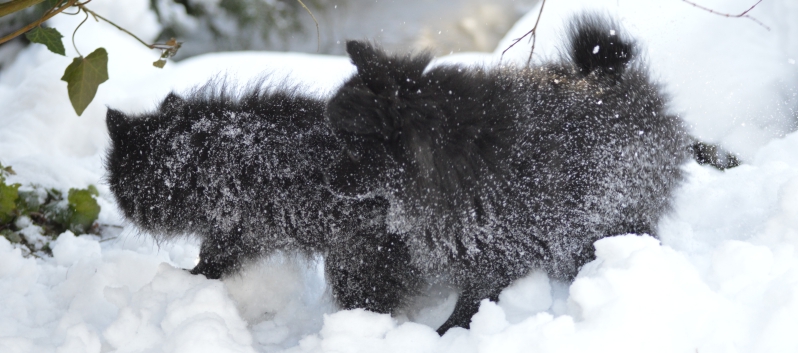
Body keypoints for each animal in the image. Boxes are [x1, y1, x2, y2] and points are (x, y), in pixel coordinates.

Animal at [322, 14, 692, 332]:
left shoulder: (494, 257)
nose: (325, 181)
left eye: (351, 149)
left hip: (602, 214)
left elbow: (464, 311)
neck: (452, 156)